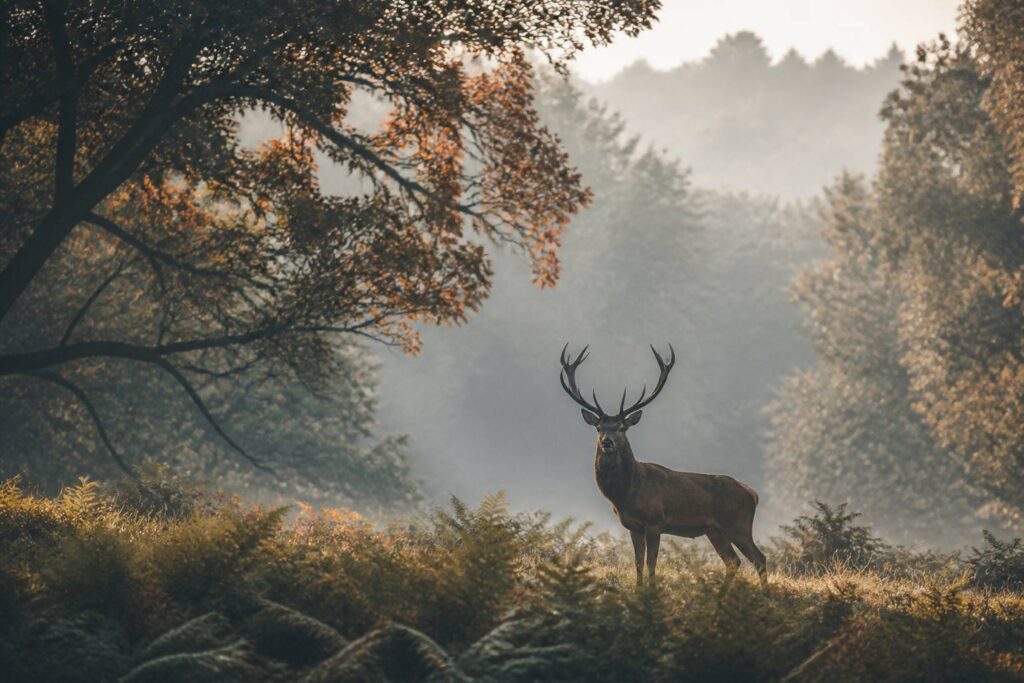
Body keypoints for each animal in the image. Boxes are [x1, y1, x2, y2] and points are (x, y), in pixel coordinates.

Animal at [559, 344, 767, 589]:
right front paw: (639, 590)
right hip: (715, 530)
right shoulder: (633, 526)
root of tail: (753, 494)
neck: (626, 493)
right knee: (733, 561)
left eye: (621, 428)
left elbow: (651, 562)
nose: (607, 442)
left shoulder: (655, 521)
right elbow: (638, 562)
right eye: (599, 427)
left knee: (759, 558)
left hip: (738, 524)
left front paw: (652, 590)